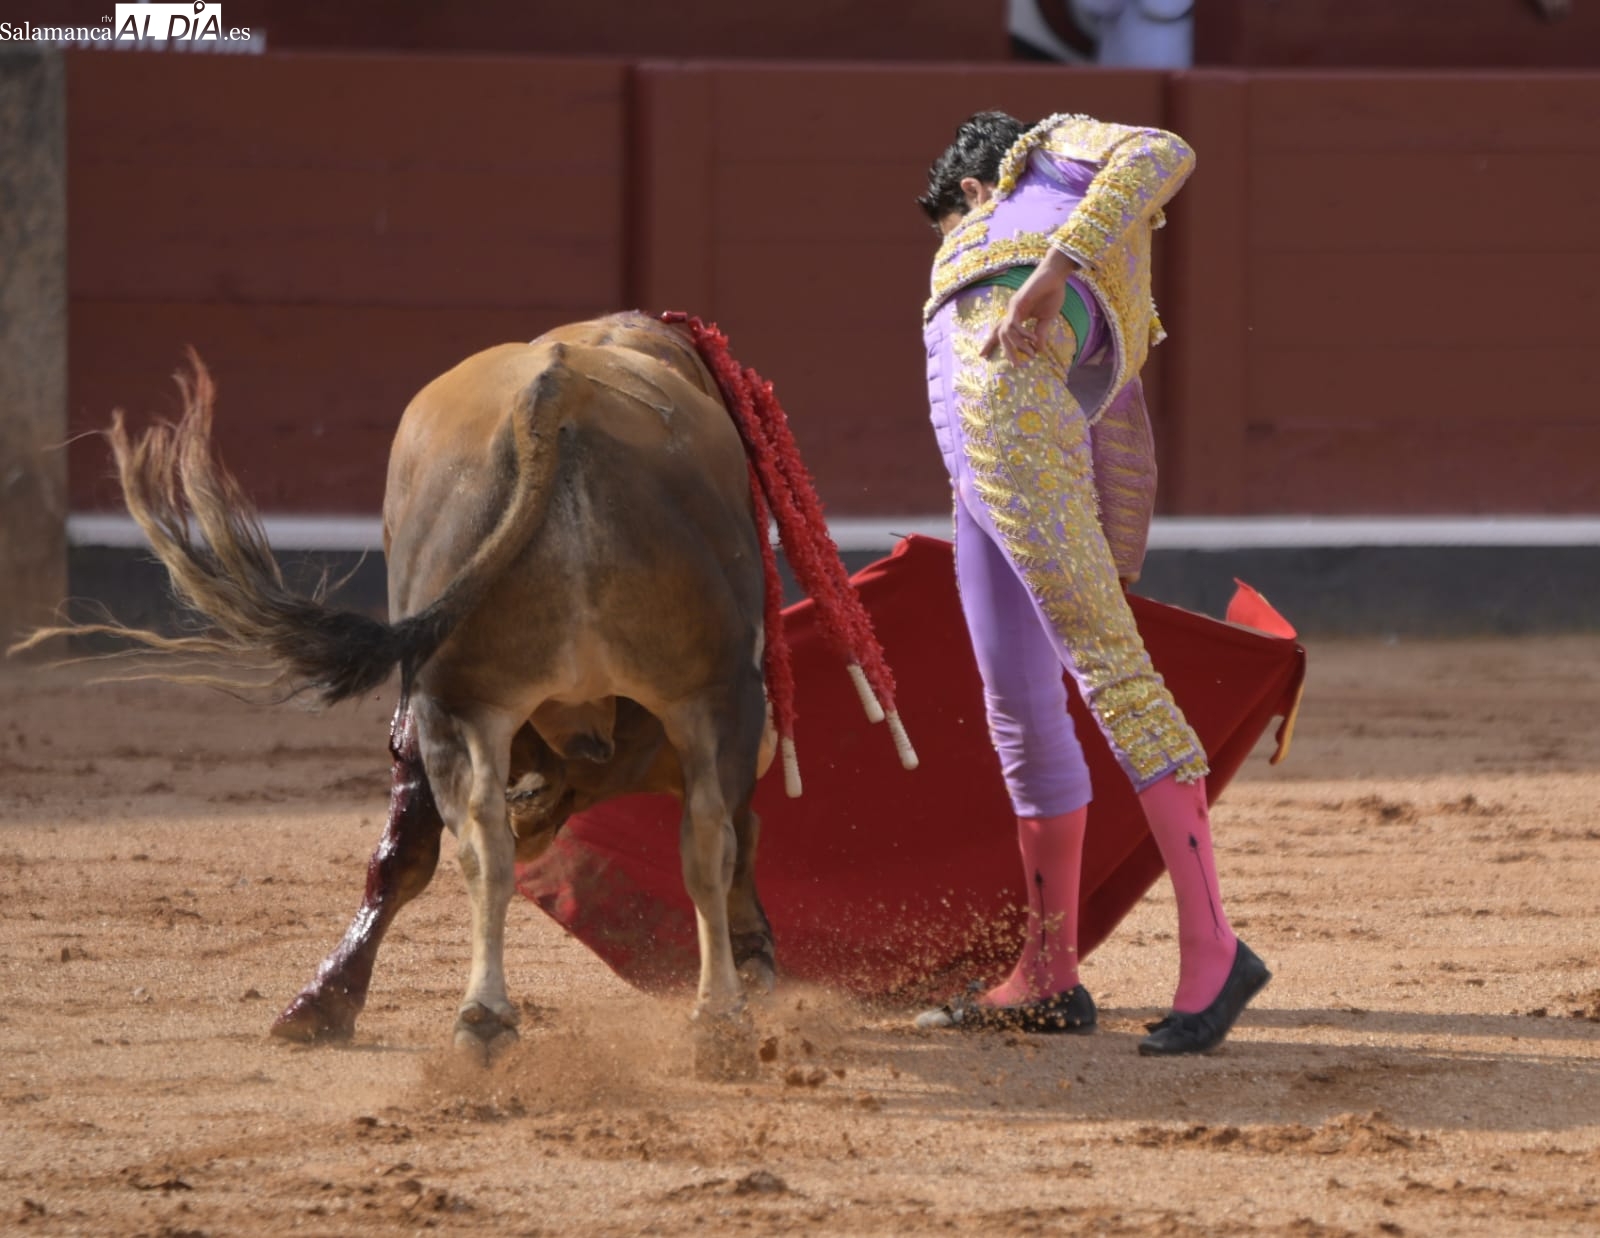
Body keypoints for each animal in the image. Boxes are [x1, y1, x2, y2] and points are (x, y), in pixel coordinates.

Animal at [80, 312, 789, 1078]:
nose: (540, 810)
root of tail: (558, 391)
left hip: (520, 698)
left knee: (517, 842)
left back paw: (518, 1019)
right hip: (667, 694)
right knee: (689, 837)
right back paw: (694, 1016)